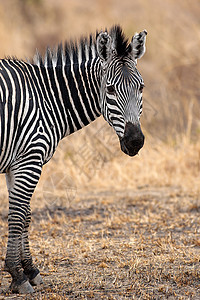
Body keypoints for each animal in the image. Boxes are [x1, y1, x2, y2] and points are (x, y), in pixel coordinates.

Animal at [0, 25, 147, 292]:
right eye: (110, 89)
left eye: (141, 87)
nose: (135, 141)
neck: (47, 99)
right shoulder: (29, 159)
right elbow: (17, 216)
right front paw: (17, 275)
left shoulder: (16, 164)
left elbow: (25, 214)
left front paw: (30, 269)